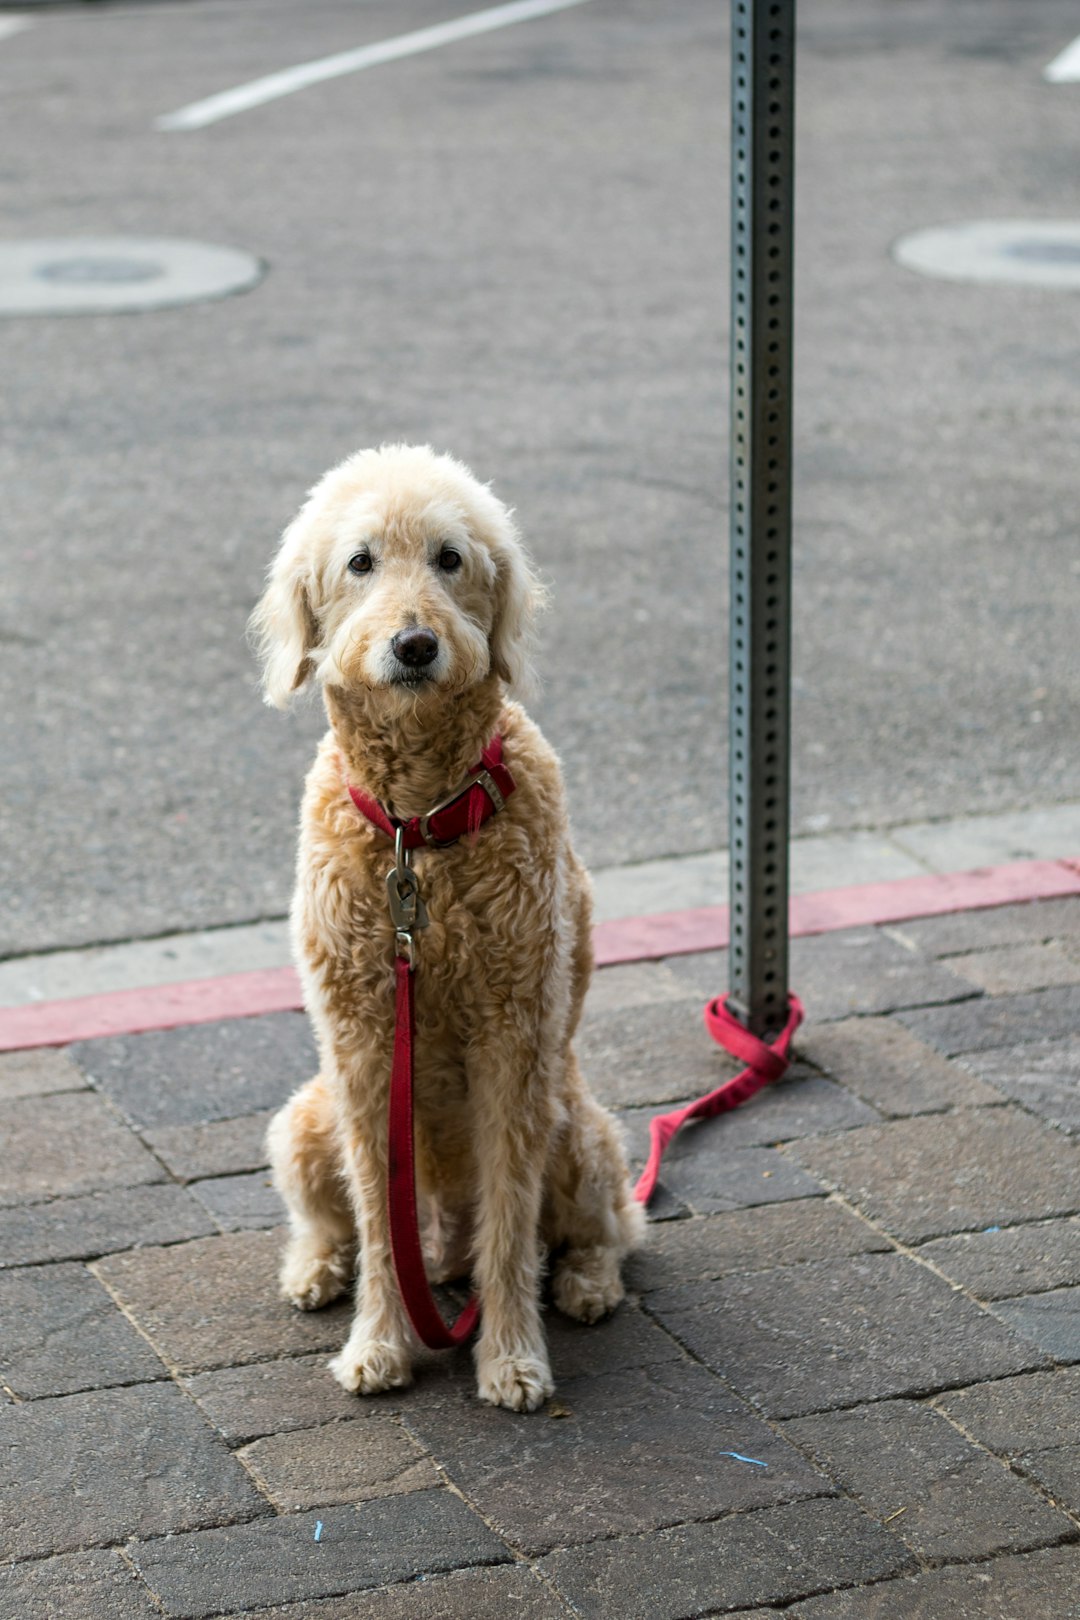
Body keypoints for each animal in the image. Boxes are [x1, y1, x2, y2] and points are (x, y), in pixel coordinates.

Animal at [249, 440, 647, 1406]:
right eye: (361, 562)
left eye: (449, 558)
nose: (416, 643)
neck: (418, 830)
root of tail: (445, 1253)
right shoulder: (361, 1050)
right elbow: (375, 1224)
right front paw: (379, 1345)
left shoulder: (514, 1043)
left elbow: (512, 1226)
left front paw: (510, 1358)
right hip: (304, 1122)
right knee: (339, 1225)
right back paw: (316, 1269)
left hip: (578, 1132)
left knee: (607, 1228)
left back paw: (584, 1285)